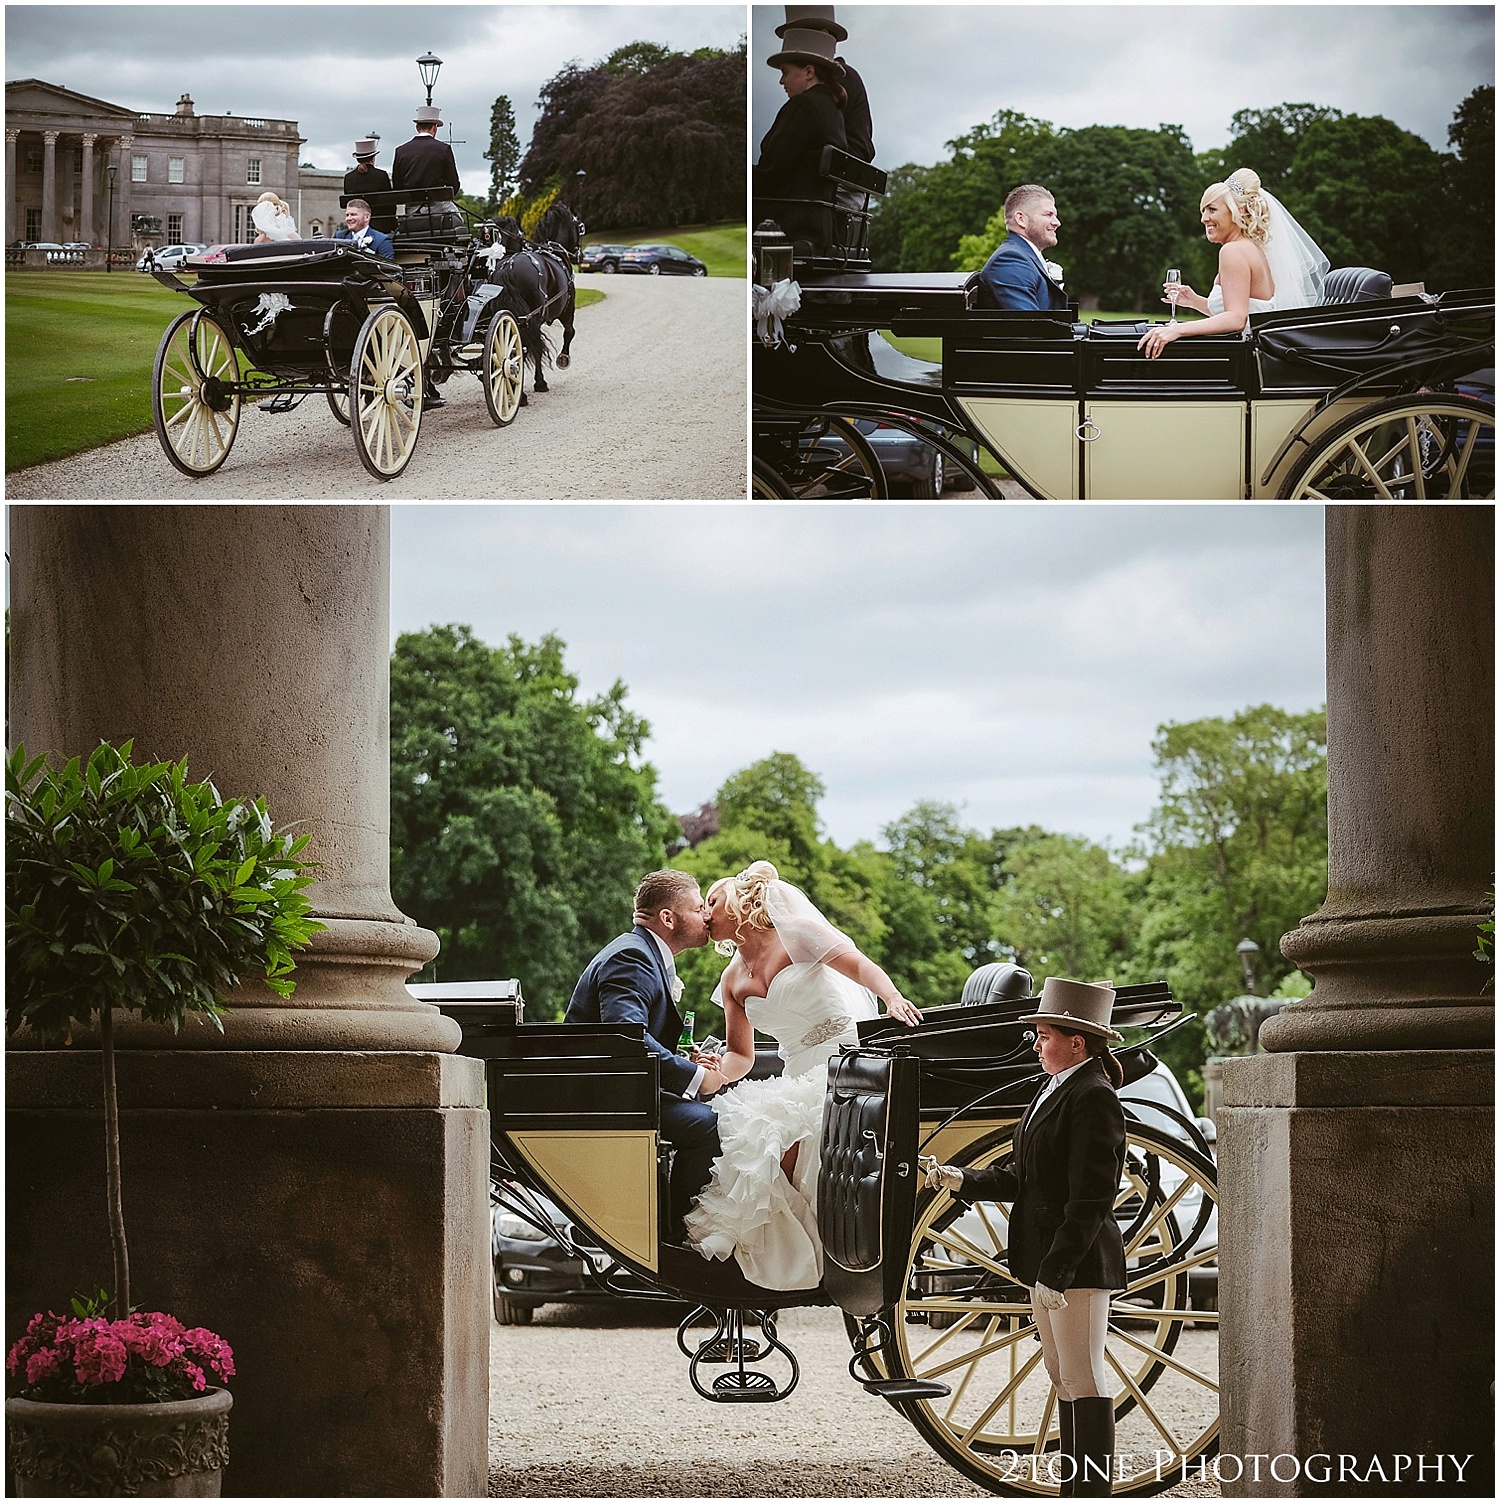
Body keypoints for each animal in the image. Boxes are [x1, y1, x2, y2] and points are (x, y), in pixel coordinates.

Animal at [483, 217, 577, 396]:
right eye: (580, 227)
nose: (578, 255)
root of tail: (508, 267)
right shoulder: (567, 308)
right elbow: (569, 332)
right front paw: (562, 359)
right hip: (530, 319)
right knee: (525, 349)